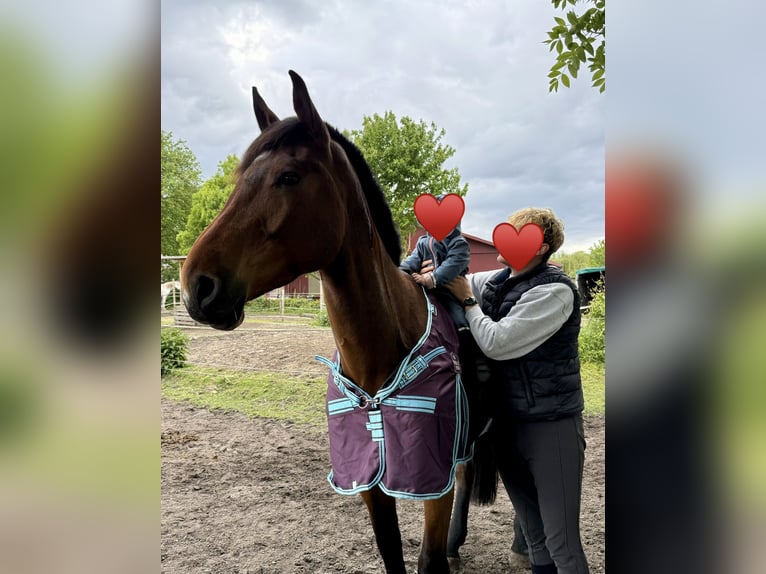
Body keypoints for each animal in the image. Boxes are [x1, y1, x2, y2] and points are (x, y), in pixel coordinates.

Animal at [180, 70, 492, 574]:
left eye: (288, 177)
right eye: (240, 179)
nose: (196, 285)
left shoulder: (432, 483)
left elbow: (427, 559)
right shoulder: (368, 481)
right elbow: (391, 553)